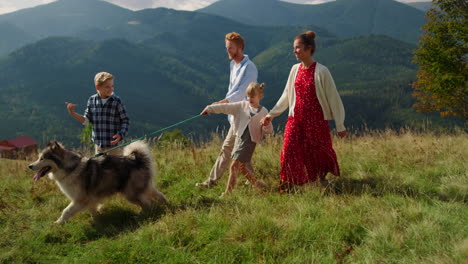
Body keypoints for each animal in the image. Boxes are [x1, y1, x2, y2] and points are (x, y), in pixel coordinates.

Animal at [28, 140, 167, 223]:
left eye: (42, 158)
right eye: (39, 158)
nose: (30, 166)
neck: (71, 168)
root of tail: (136, 159)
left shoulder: (80, 199)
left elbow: (66, 211)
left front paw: (58, 223)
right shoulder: (89, 199)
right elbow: (93, 210)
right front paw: (98, 220)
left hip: (130, 193)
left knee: (147, 203)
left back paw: (142, 215)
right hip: (142, 188)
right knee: (157, 195)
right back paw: (165, 203)